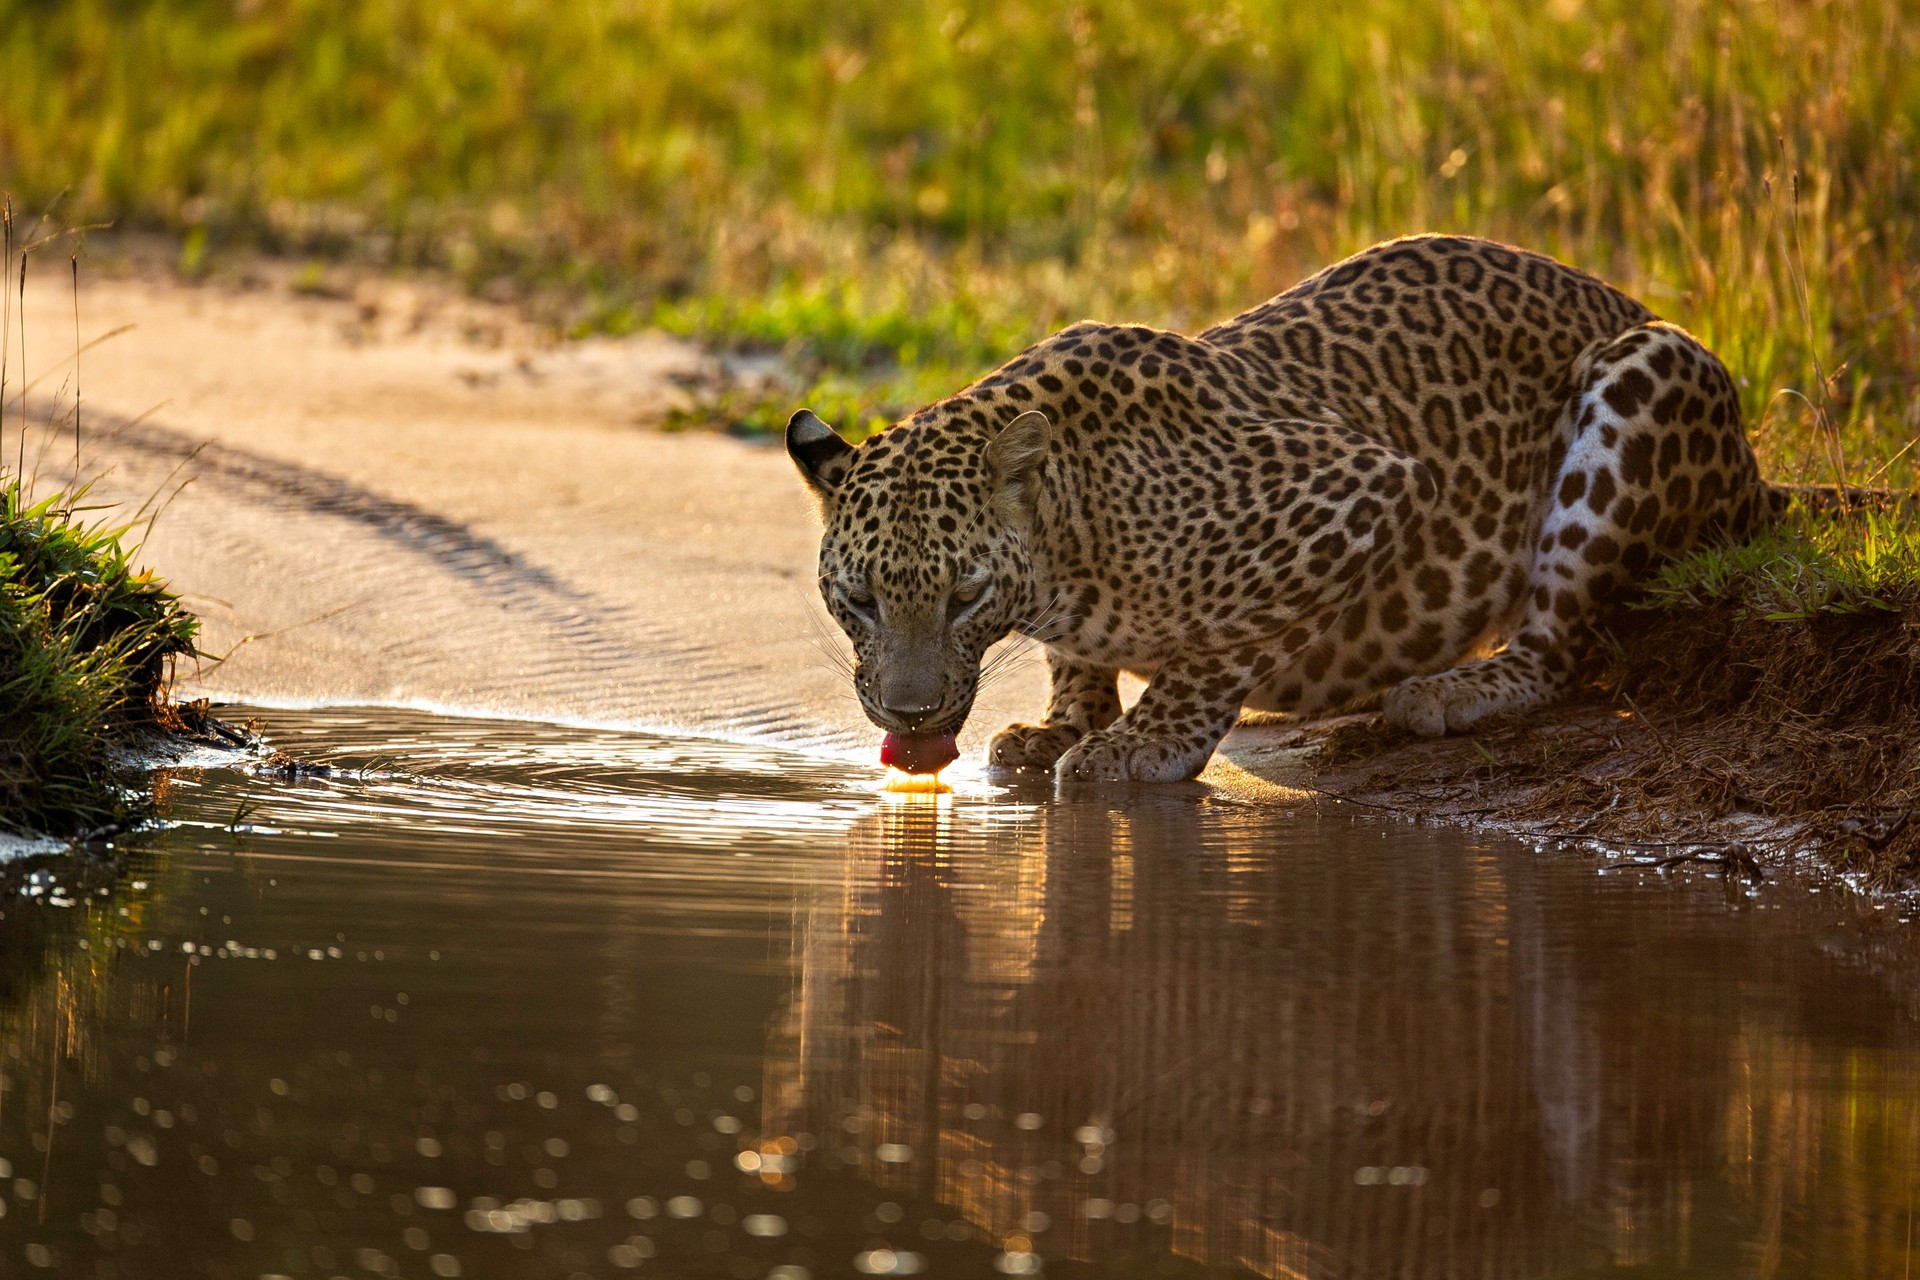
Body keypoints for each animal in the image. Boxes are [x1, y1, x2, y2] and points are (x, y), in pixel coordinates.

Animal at [786, 234, 1817, 783]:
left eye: (963, 597)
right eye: (862, 600)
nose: (913, 714)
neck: (1072, 532)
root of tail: (1755, 469)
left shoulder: (1363, 488)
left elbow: (1221, 645)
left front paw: (1143, 744)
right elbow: (1080, 661)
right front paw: (1067, 722)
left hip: (1645, 373)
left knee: (1559, 645)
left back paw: (1451, 691)